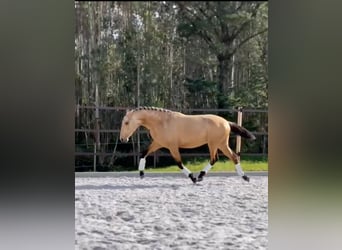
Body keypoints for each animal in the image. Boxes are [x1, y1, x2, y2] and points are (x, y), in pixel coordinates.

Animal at [119, 106, 255, 184]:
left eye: (126, 122)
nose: (123, 139)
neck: (162, 122)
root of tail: (226, 122)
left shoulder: (172, 146)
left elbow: (179, 163)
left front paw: (192, 177)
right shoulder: (158, 143)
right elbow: (143, 153)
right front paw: (141, 174)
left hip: (214, 144)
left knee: (216, 158)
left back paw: (200, 176)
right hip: (221, 144)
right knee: (231, 157)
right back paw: (244, 177)